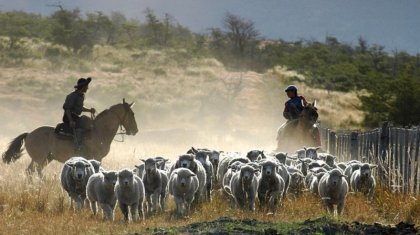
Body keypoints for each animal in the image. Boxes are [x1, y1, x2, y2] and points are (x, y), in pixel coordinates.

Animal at [2, 98, 139, 177]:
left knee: (30, 171)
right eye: (132, 114)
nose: (135, 130)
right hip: (40, 159)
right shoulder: (97, 158)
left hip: (43, 158)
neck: (99, 132)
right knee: (37, 171)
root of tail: (29, 134)